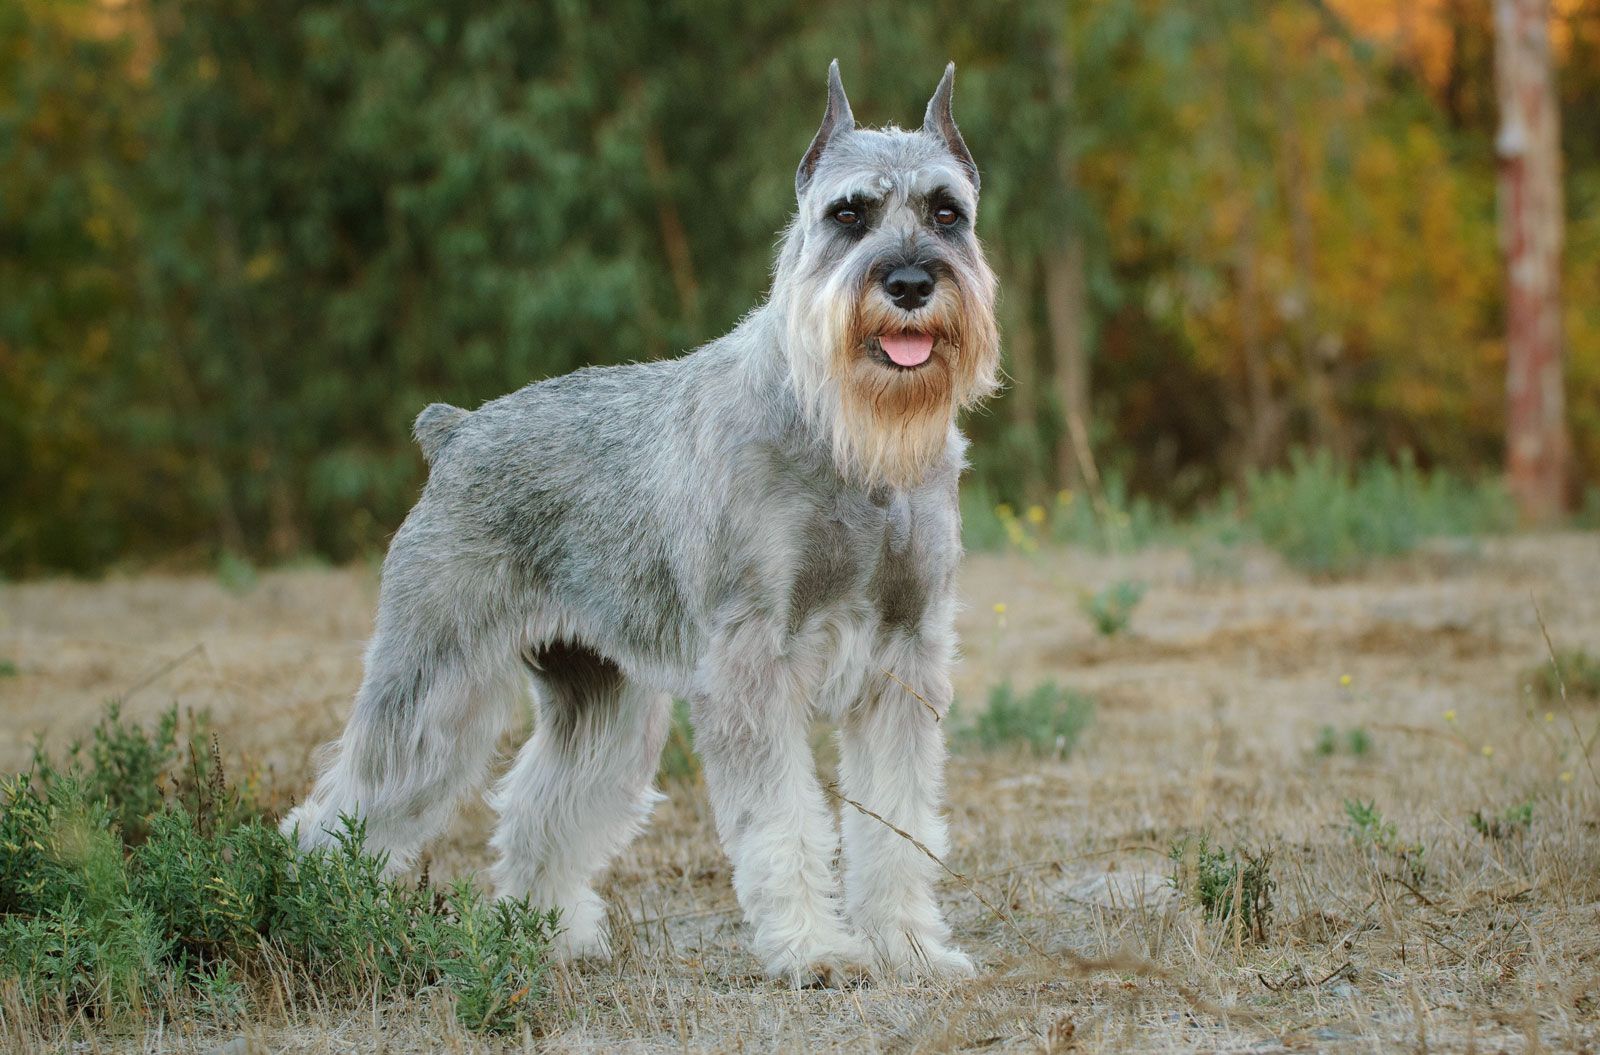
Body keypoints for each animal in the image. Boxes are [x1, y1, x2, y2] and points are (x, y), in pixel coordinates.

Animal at [281, 62, 992, 986]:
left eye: (947, 211)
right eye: (849, 214)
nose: (909, 282)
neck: (843, 433)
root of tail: (456, 431)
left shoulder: (905, 655)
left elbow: (896, 822)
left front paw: (908, 945)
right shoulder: (752, 660)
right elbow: (782, 820)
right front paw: (814, 950)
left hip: (604, 697)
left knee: (541, 806)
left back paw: (550, 934)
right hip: (436, 680)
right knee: (346, 802)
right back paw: (317, 916)